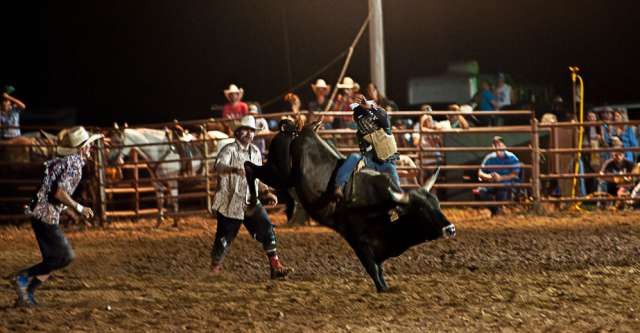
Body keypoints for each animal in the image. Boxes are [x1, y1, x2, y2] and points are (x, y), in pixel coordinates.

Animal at [245, 120, 456, 292]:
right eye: (421, 210)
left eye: (437, 204)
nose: (450, 228)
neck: (382, 207)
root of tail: (293, 130)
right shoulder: (357, 240)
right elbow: (373, 269)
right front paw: (383, 289)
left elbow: (379, 269)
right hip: (278, 172)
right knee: (249, 167)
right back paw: (255, 201)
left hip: (281, 174)